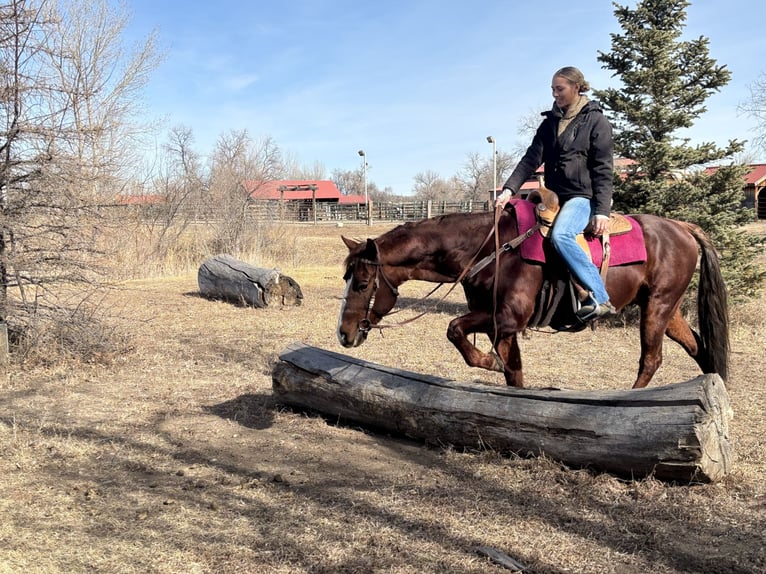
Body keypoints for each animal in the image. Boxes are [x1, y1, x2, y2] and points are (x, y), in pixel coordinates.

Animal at [336, 201, 730, 389]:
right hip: (664, 306)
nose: (344, 333)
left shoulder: (509, 318)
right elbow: (514, 372)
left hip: (657, 306)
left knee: (651, 360)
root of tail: (681, 227)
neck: (488, 250)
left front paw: (488, 362)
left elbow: (453, 328)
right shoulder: (500, 326)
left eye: (361, 283)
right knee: (698, 346)